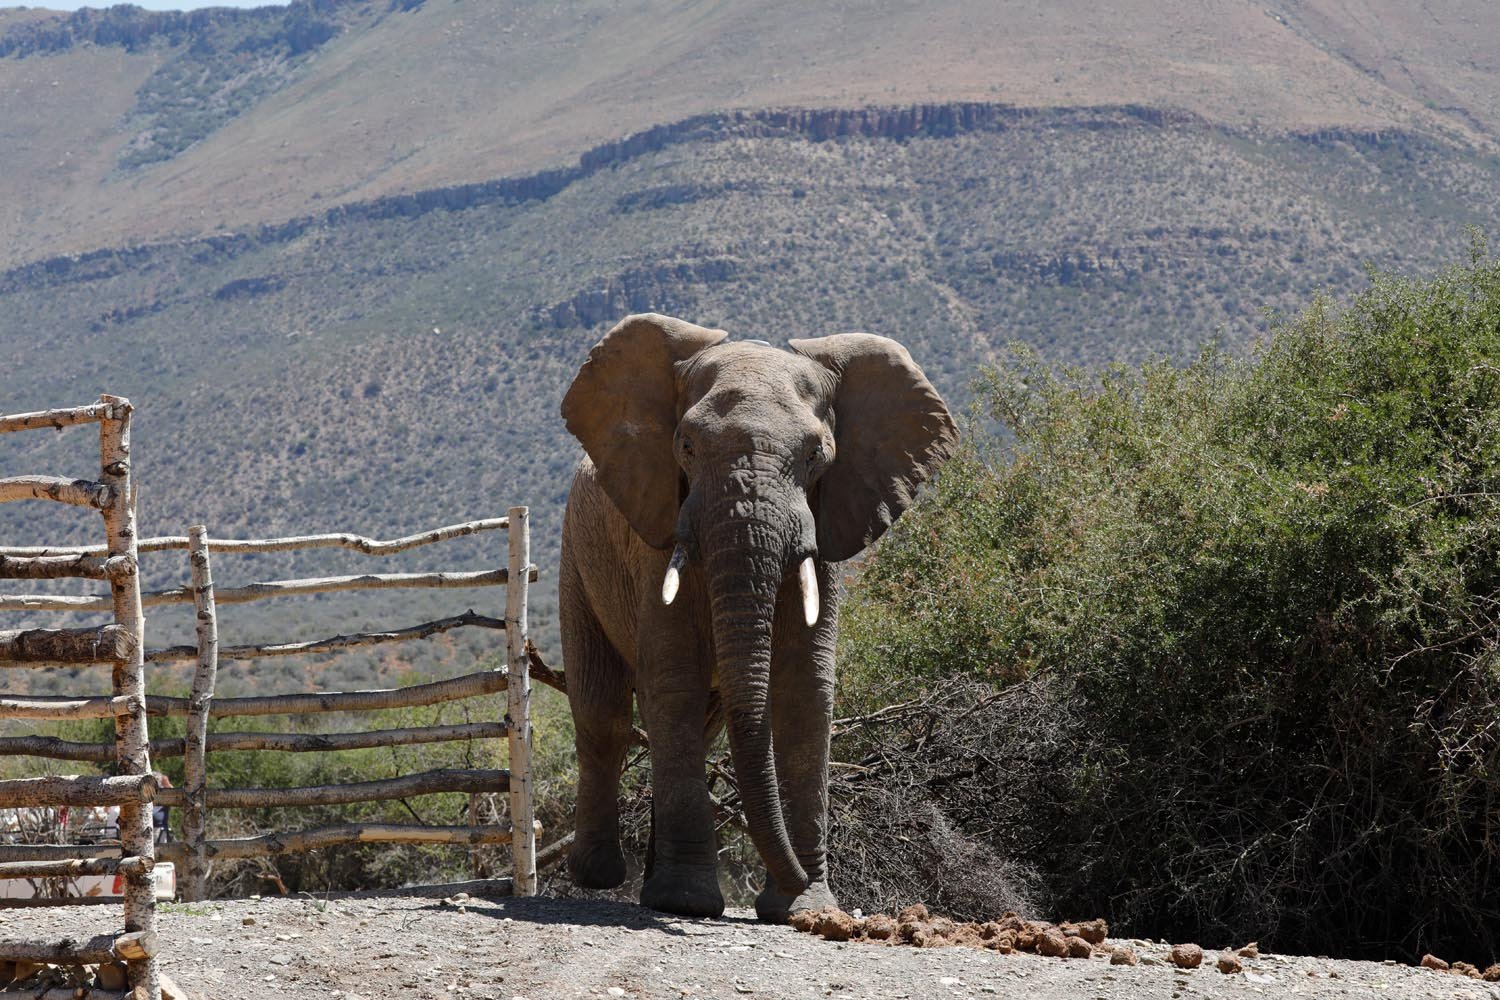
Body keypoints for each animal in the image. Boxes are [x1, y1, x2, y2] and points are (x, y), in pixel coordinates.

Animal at [558, 314, 954, 923]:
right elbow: (673, 677)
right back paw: (599, 876)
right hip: (577, 554)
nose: (793, 880)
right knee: (604, 711)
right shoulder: (658, 533)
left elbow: (805, 689)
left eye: (817, 454)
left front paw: (804, 909)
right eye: (686, 446)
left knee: (700, 725)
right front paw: (688, 904)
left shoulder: (826, 529)